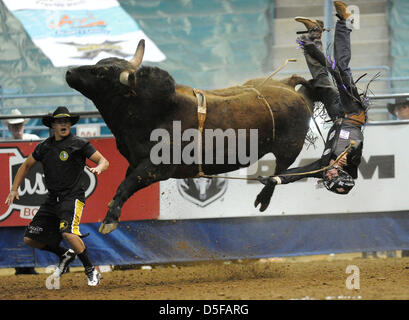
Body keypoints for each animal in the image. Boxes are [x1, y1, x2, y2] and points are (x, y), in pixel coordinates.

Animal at [65, 40, 318, 235]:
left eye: (101, 73)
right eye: (98, 64)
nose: (69, 72)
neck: (147, 110)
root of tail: (289, 87)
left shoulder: (157, 166)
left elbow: (125, 186)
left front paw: (109, 220)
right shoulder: (136, 163)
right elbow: (125, 184)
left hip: (289, 148)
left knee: (280, 173)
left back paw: (263, 198)